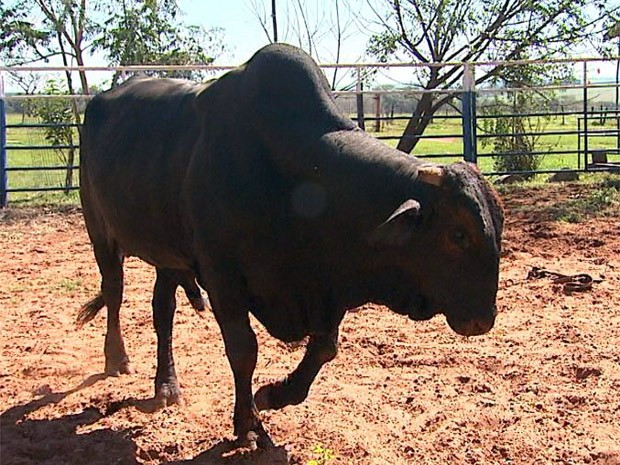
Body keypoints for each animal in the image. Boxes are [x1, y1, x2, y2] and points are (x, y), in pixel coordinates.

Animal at [77, 43, 504, 446]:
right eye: (458, 234)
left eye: (498, 228)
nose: (483, 319)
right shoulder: (223, 278)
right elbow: (244, 351)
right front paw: (248, 424)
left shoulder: (329, 286)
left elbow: (324, 347)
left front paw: (275, 394)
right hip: (100, 232)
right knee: (114, 292)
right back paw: (117, 358)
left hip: (169, 253)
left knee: (162, 309)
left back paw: (166, 384)